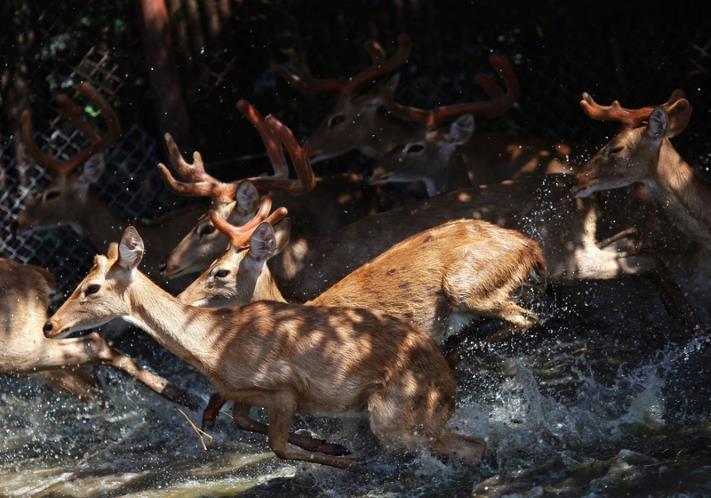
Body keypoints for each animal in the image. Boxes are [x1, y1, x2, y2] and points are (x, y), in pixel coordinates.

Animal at [43, 226, 490, 470]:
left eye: (91, 287)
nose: (50, 325)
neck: (211, 345)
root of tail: (447, 385)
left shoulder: (282, 389)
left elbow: (278, 447)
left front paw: (346, 459)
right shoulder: (244, 393)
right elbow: (250, 427)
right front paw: (332, 446)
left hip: (397, 418)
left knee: (470, 444)